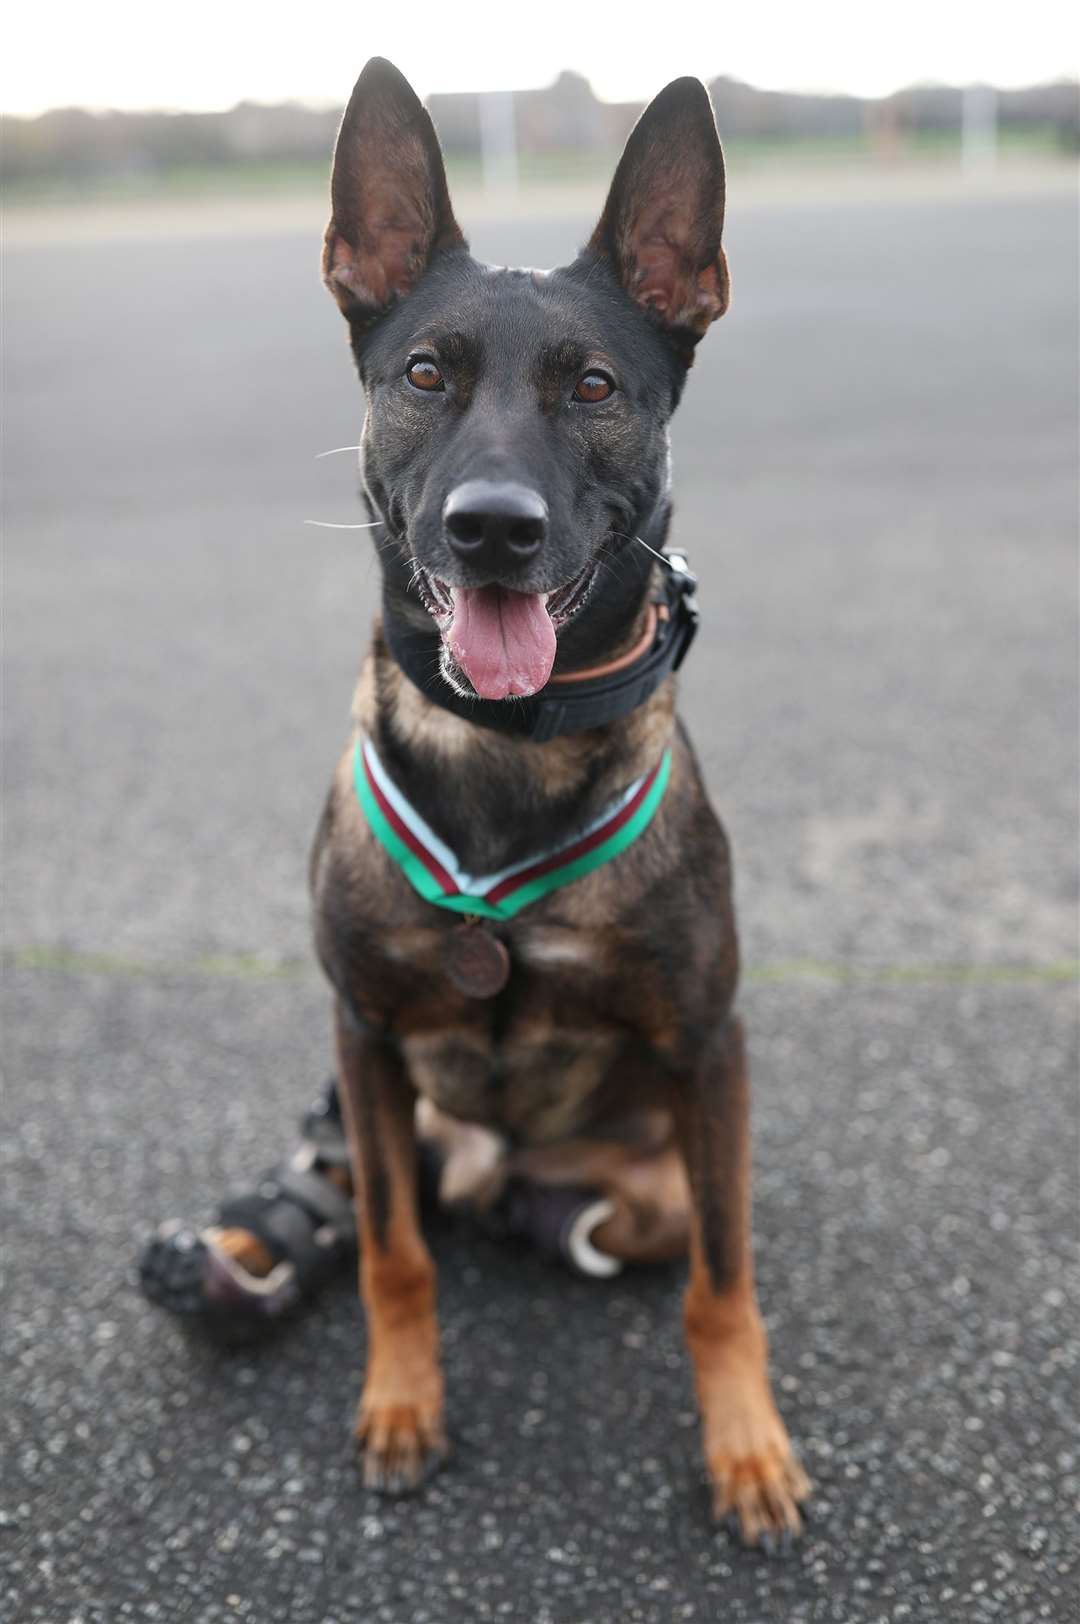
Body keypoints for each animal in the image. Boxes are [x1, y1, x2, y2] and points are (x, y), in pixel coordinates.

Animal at [306, 53, 805, 1546]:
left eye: (593, 386)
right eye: (425, 374)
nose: (493, 529)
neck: (506, 746)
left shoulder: (709, 1050)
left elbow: (722, 1286)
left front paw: (745, 1448)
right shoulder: (363, 1037)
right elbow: (393, 1253)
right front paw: (402, 1401)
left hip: (653, 1165)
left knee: (635, 1230)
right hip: (387, 1115)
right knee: (394, 1199)